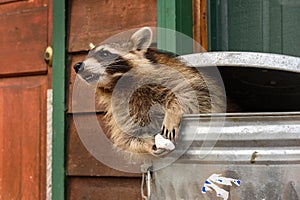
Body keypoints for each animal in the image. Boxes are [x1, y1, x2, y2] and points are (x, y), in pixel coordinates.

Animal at [74, 27, 226, 157]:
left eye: (104, 53)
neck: (117, 83)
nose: (77, 66)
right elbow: (128, 136)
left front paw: (173, 109)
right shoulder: (121, 105)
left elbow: (191, 93)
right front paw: (148, 144)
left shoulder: (175, 75)